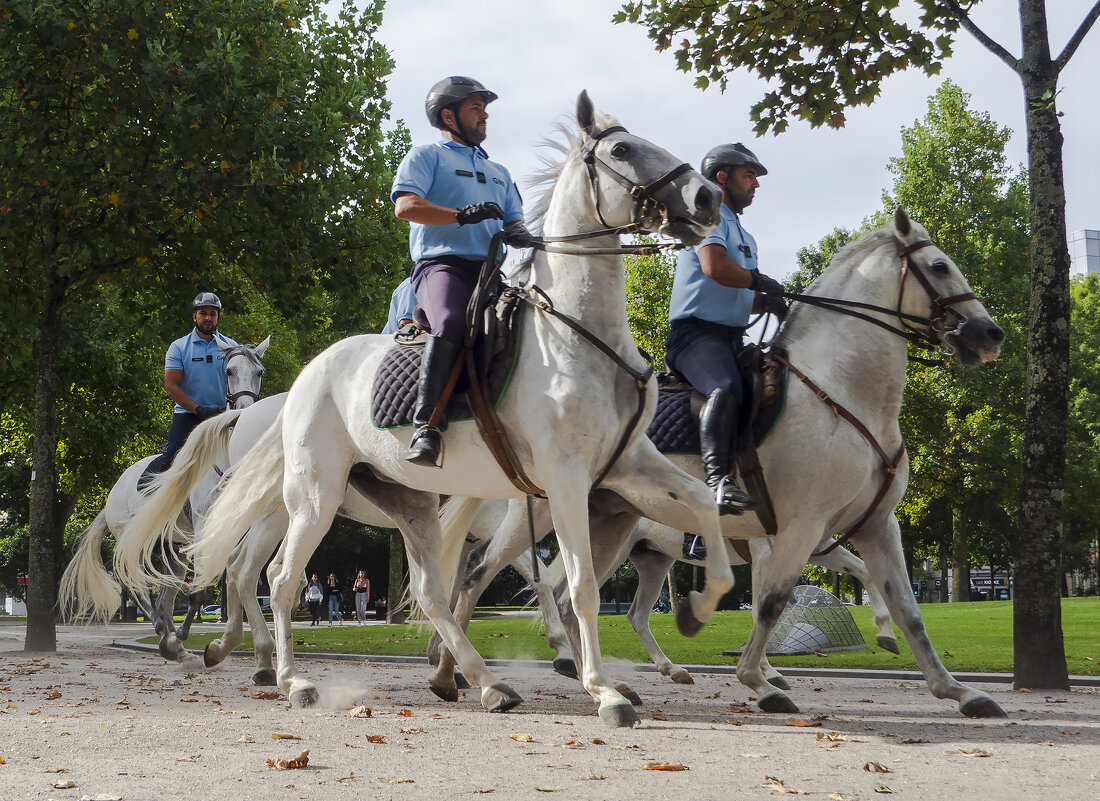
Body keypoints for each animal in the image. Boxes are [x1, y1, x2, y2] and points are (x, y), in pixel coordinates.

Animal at [59, 334, 268, 660]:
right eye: (230, 371)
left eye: (259, 372)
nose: (245, 411)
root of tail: (113, 494)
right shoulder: (204, 527)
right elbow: (201, 588)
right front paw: (185, 635)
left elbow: (238, 575)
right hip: (135, 539)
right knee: (136, 587)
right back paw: (166, 636)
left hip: (174, 549)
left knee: (165, 599)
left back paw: (173, 644)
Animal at [124, 92, 730, 726]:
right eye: (622, 150)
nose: (707, 198)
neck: (580, 336)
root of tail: (310, 373)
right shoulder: (564, 480)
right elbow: (577, 582)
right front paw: (603, 689)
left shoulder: (629, 465)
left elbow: (702, 504)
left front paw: (698, 606)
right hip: (313, 498)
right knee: (277, 576)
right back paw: (289, 677)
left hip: (409, 505)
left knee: (424, 590)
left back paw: (483, 682)